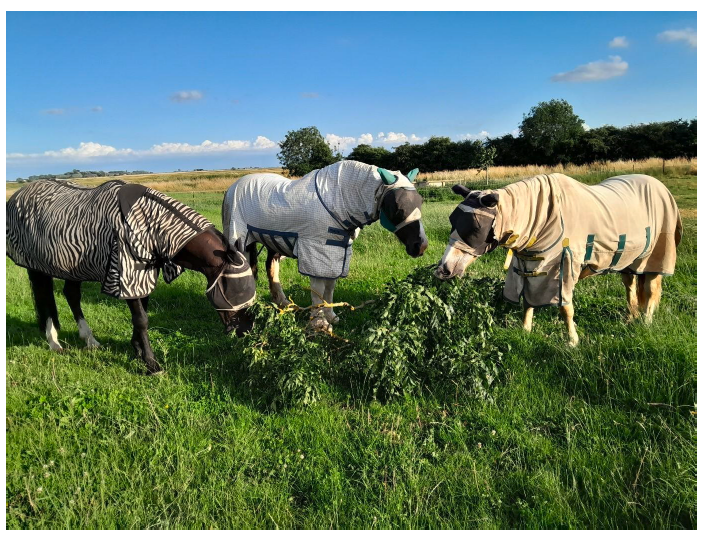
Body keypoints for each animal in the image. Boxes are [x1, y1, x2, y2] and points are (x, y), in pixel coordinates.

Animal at [6, 180, 257, 374]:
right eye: (236, 290)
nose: (245, 331)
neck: (149, 225)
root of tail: (18, 195)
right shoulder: (127, 274)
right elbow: (142, 319)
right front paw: (151, 363)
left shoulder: (142, 275)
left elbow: (141, 315)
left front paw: (137, 350)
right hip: (37, 268)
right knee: (45, 298)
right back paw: (53, 341)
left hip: (71, 267)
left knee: (71, 295)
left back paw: (89, 340)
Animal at [223, 160, 428, 331]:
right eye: (397, 207)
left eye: (420, 202)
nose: (421, 246)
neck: (337, 201)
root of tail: (232, 188)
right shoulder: (316, 252)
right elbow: (318, 290)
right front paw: (319, 323)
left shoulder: (335, 253)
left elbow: (329, 288)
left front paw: (331, 316)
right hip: (242, 241)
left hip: (273, 242)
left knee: (271, 267)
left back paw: (283, 304)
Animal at [435, 174, 682, 346]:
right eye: (452, 220)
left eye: (476, 227)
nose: (443, 270)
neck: (542, 218)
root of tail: (660, 186)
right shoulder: (530, 266)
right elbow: (528, 301)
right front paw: (525, 330)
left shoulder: (562, 269)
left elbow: (566, 309)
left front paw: (572, 341)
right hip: (629, 262)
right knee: (631, 288)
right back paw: (631, 318)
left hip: (653, 259)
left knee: (650, 291)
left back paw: (645, 322)